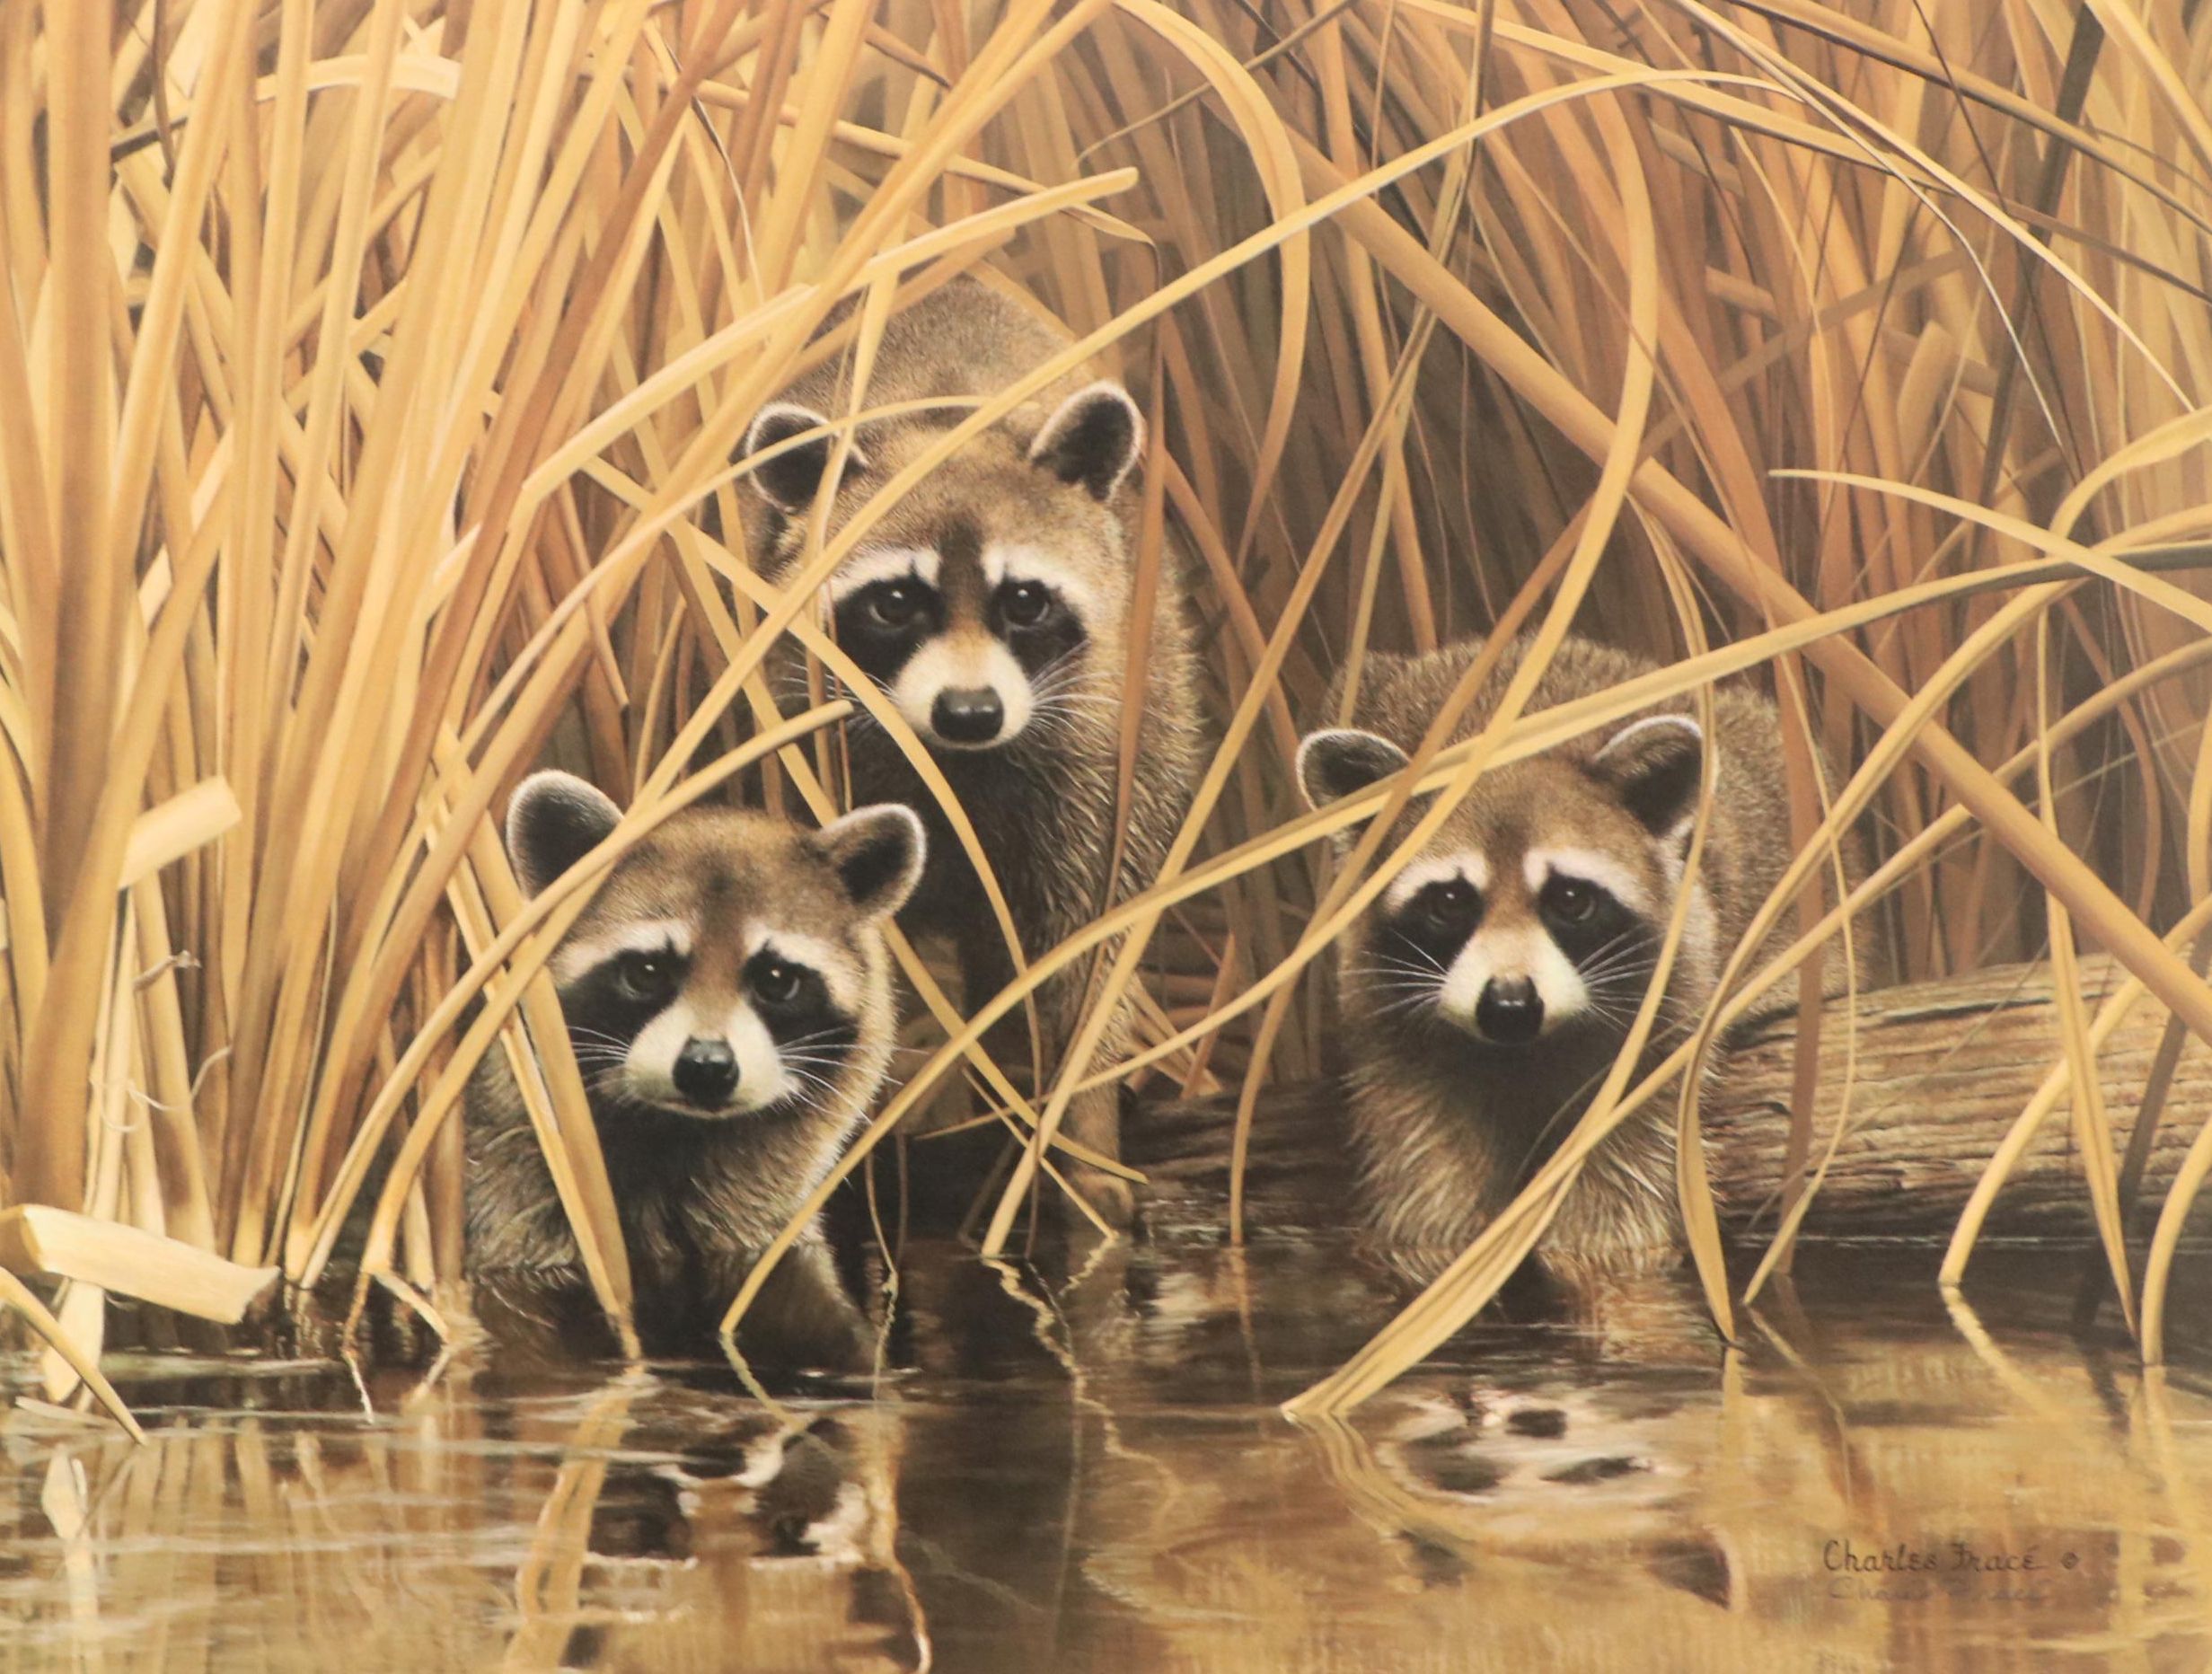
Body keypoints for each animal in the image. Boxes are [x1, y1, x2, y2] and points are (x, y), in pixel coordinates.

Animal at [740, 277, 1204, 1225]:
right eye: (893, 603)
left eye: (1022, 601)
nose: (967, 712)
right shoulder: (814, 735)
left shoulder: (1103, 747)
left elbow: (1083, 952)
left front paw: (1085, 1142)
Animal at [1296, 634, 1861, 1274]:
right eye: (1449, 901)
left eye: (1570, 899)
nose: (1510, 1005)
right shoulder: (1381, 1012)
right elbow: (1425, 1171)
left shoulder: (1667, 1001)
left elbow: (1622, 1170)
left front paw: (1595, 1255)